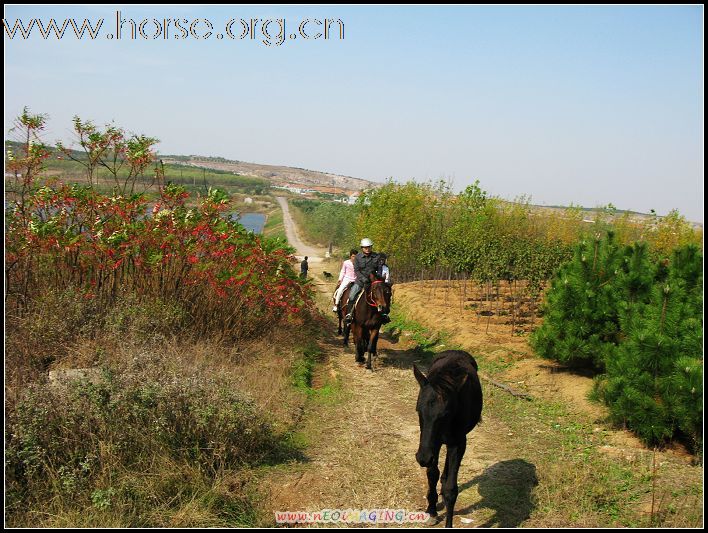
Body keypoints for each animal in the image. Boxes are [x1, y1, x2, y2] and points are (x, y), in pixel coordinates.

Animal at [412, 350, 484, 528]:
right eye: (418, 411)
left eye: (445, 414)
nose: (422, 458)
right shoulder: (432, 444)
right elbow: (432, 474)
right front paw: (431, 510)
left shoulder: (458, 443)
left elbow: (451, 489)